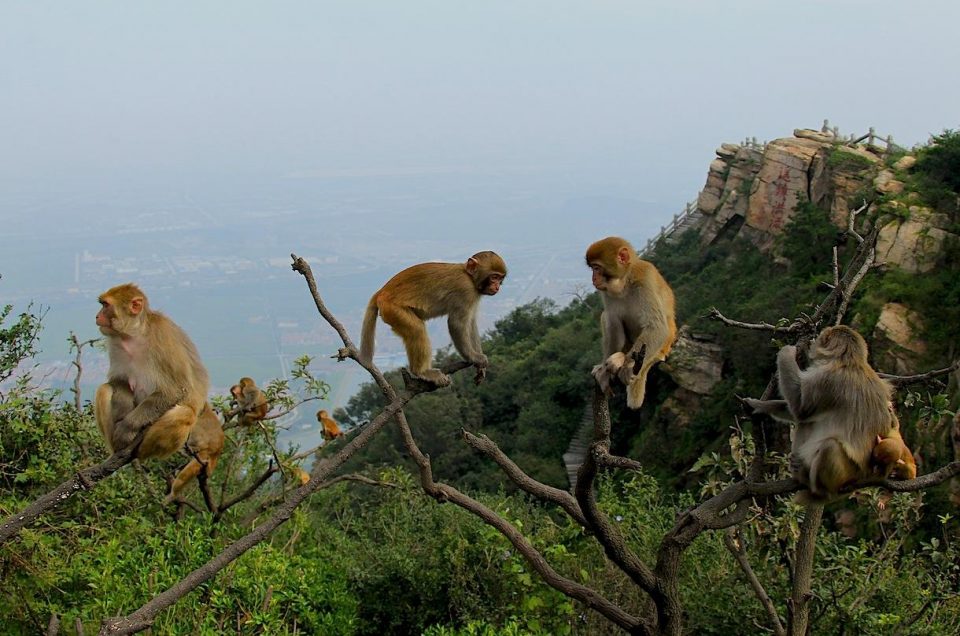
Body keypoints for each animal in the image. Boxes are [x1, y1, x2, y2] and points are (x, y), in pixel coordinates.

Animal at [94, 282, 210, 458]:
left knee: (184, 413)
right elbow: (118, 380)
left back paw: (141, 451)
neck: (134, 335)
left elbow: (175, 390)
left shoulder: (162, 337)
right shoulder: (116, 344)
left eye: (105, 305)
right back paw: (118, 450)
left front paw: (127, 428)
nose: (97, 316)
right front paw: (122, 409)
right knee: (104, 390)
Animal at [362, 251, 510, 386]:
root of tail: (381, 292)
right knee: (417, 330)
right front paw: (473, 357)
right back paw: (422, 372)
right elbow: (456, 323)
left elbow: (471, 323)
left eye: (500, 278)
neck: (469, 277)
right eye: (494, 277)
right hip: (393, 309)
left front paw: (480, 364)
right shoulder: (466, 290)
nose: (497, 286)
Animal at [584, 236, 676, 410]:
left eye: (597, 268)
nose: (593, 278)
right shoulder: (606, 292)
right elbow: (612, 318)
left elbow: (657, 326)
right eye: (592, 269)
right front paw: (604, 370)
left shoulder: (645, 278)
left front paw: (626, 365)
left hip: (660, 347)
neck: (625, 281)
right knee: (608, 316)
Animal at [744, 328, 900, 502]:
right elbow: (800, 412)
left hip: (847, 475)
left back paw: (813, 485)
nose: (813, 344)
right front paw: (759, 406)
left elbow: (800, 409)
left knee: (829, 446)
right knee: (809, 423)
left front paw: (786, 352)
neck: (850, 362)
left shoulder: (827, 379)